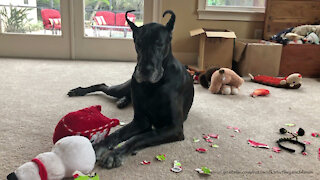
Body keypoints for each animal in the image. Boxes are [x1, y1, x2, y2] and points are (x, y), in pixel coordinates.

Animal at [67, 10, 195, 169]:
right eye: (138, 43)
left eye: (159, 43)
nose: (145, 71)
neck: (154, 85)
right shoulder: (140, 121)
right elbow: (117, 133)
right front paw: (99, 146)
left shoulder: (174, 128)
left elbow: (140, 137)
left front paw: (114, 154)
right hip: (122, 88)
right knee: (103, 86)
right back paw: (79, 91)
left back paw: (122, 101)